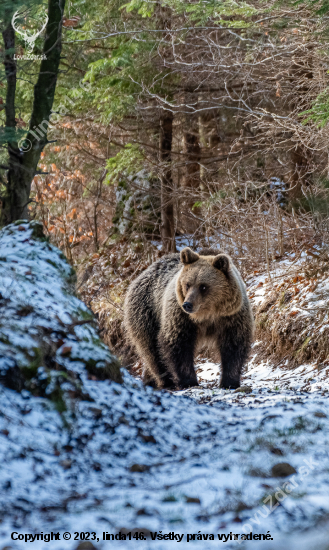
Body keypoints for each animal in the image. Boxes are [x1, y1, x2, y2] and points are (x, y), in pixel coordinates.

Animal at [123, 248, 254, 390]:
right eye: (187, 284)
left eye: (203, 286)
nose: (187, 304)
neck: (206, 315)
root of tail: (141, 274)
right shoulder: (181, 317)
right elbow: (178, 344)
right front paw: (188, 381)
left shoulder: (231, 317)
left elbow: (234, 345)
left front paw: (230, 381)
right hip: (147, 312)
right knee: (152, 350)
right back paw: (165, 381)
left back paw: (150, 379)